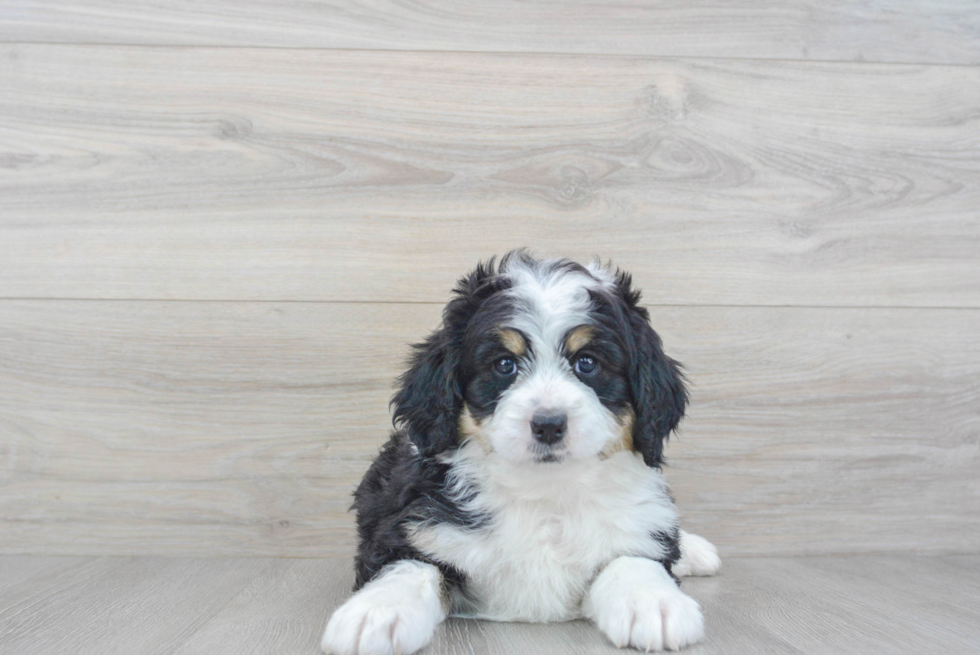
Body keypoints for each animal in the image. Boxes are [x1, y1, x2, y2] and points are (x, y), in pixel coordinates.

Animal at [322, 252, 720, 655]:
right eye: (504, 364)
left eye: (587, 363)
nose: (548, 424)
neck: (545, 492)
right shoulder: (408, 527)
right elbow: (410, 567)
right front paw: (377, 612)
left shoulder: (636, 530)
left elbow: (632, 556)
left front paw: (653, 602)